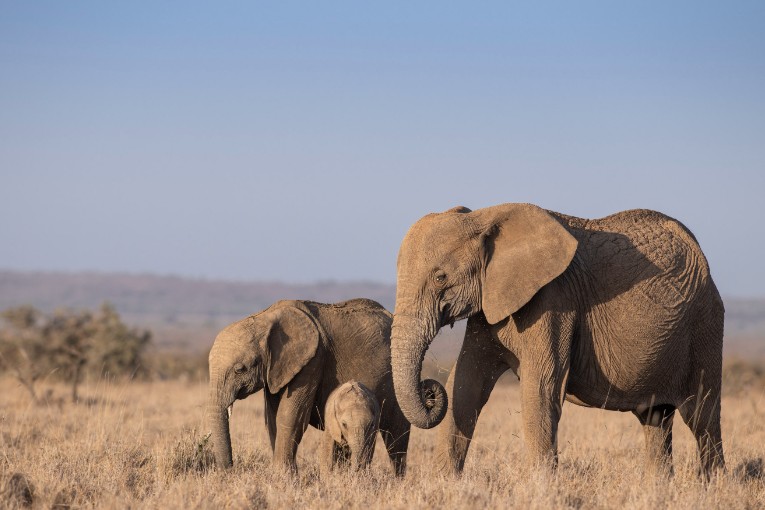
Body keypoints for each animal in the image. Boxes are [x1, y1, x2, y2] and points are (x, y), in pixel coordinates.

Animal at [206, 296, 412, 476]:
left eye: (240, 369)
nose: (229, 472)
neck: (264, 317)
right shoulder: (276, 371)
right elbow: (272, 418)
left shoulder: (312, 361)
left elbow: (291, 415)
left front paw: (283, 477)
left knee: (396, 436)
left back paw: (396, 481)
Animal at [390, 203, 724, 478]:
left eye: (440, 278)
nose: (429, 390)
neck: (485, 216)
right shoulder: (490, 304)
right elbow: (466, 383)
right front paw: (444, 483)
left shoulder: (553, 300)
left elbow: (541, 387)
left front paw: (540, 488)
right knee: (655, 418)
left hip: (705, 324)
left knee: (703, 416)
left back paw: (712, 486)